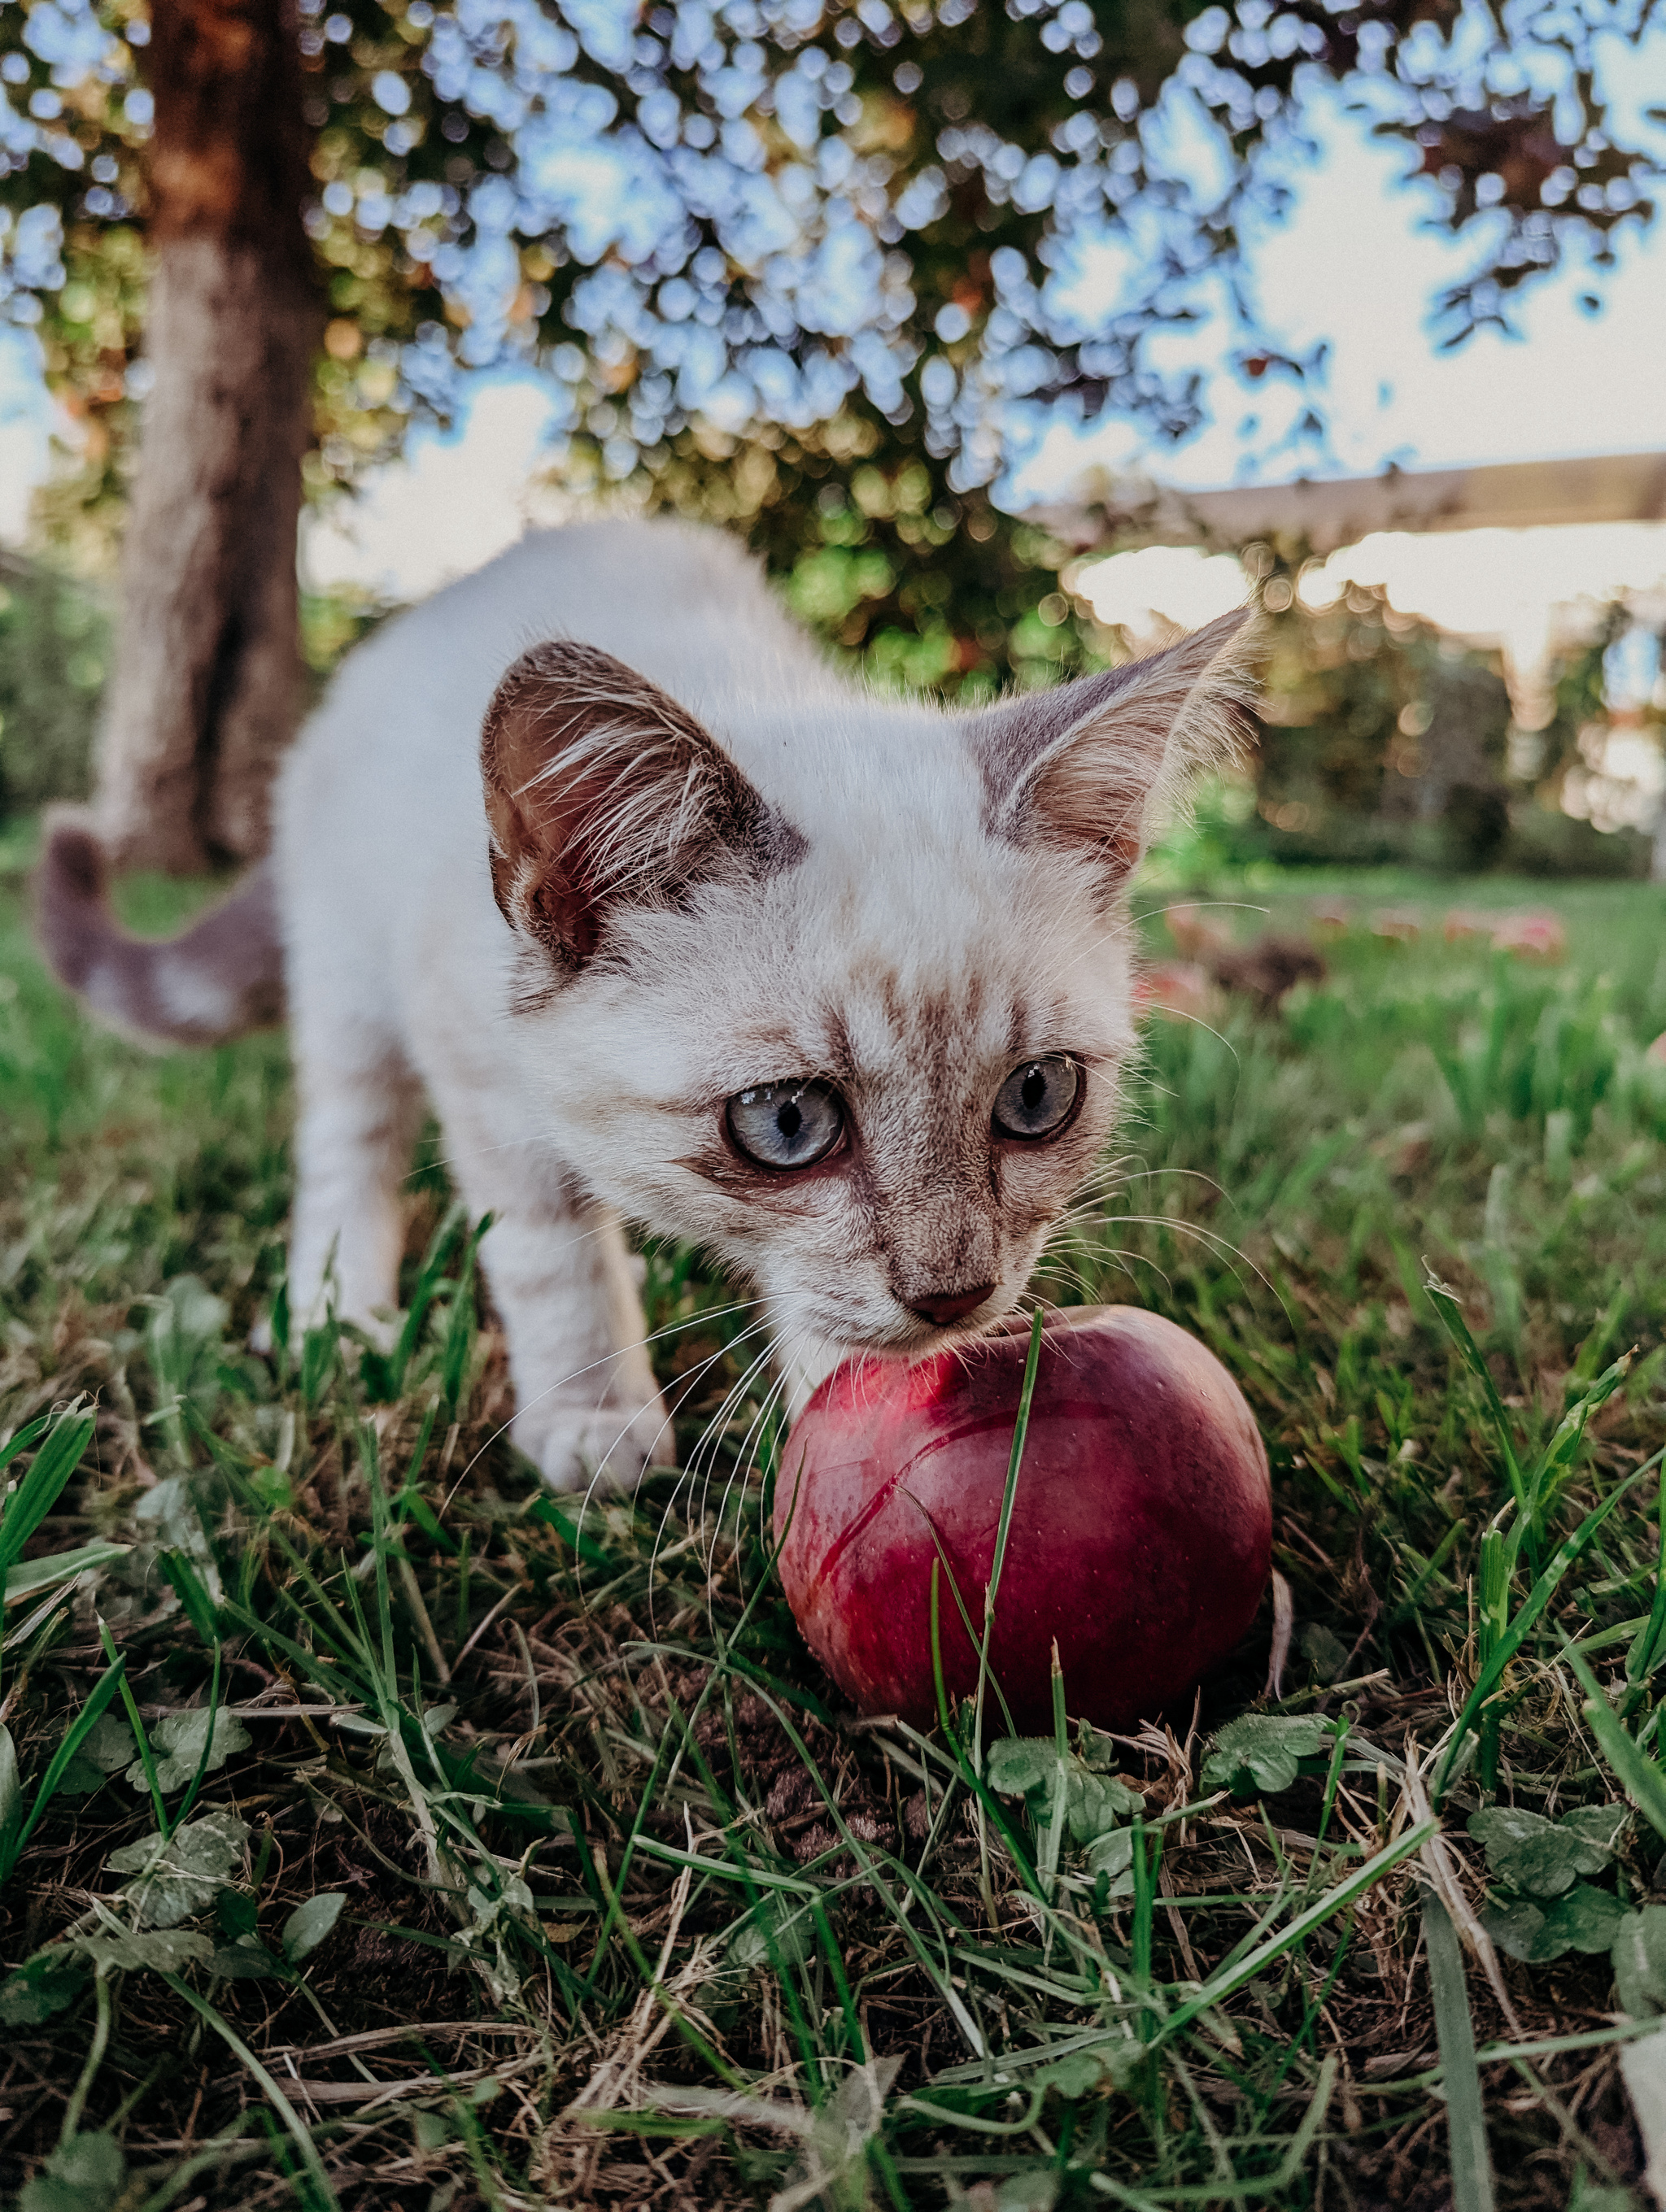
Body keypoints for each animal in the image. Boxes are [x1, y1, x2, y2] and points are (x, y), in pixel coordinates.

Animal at [38, 515, 1256, 1486]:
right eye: (786, 1122)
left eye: (1038, 1096)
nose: (952, 1295)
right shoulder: (480, 1070)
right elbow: (551, 1258)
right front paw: (595, 1430)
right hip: (350, 977)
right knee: (348, 1140)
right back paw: (338, 1316)